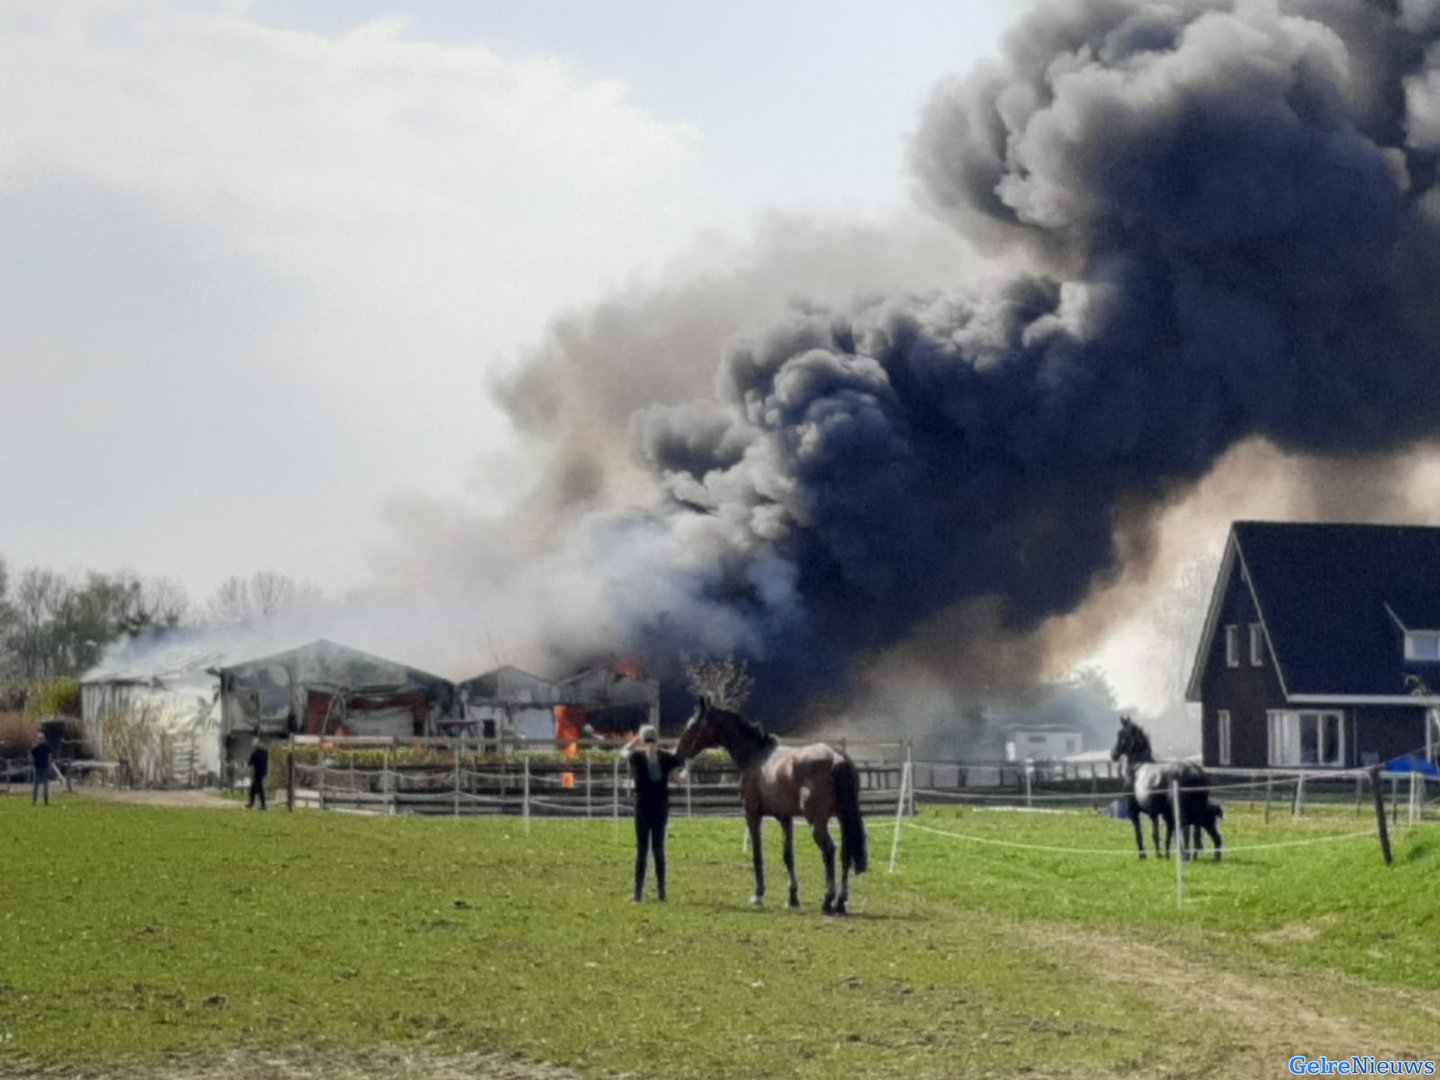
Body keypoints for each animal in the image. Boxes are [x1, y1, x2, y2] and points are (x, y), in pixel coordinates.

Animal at [671, 696, 864, 915]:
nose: (677, 756)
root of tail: (837, 759)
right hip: (843, 818)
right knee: (845, 853)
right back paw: (840, 902)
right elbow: (788, 855)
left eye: (692, 726)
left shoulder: (752, 815)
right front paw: (792, 898)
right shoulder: (785, 818)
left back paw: (828, 900)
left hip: (817, 821)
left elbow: (757, 854)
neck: (756, 755)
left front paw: (758, 895)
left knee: (829, 851)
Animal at [1105, 720, 1221, 864]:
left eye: (1121, 735)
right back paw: (1196, 855)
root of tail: (1195, 770)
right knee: (1195, 828)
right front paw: (1161, 854)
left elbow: (1139, 832)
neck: (1137, 766)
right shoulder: (1155, 813)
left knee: (1185, 826)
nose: (1113, 754)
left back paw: (1185, 854)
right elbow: (1157, 834)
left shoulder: (1133, 810)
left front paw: (1143, 855)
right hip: (1197, 808)